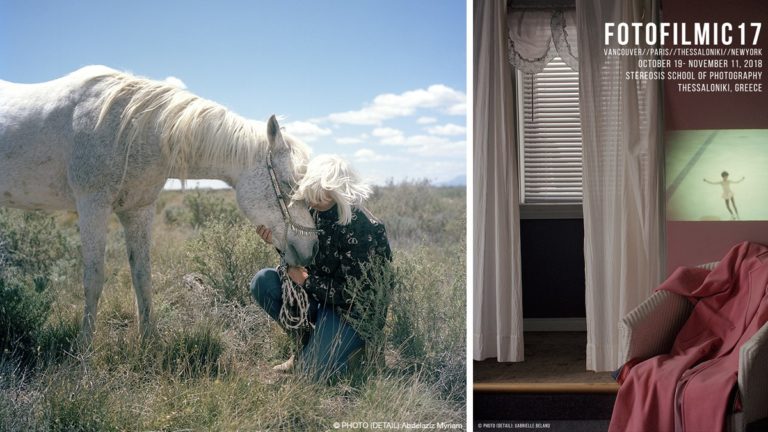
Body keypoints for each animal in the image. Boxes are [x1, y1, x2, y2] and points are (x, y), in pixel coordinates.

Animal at [0, 66, 318, 344]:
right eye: (288, 185)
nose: (312, 248)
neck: (132, 129)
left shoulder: (139, 210)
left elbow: (142, 276)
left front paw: (149, 340)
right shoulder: (92, 205)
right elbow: (93, 279)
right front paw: (84, 349)